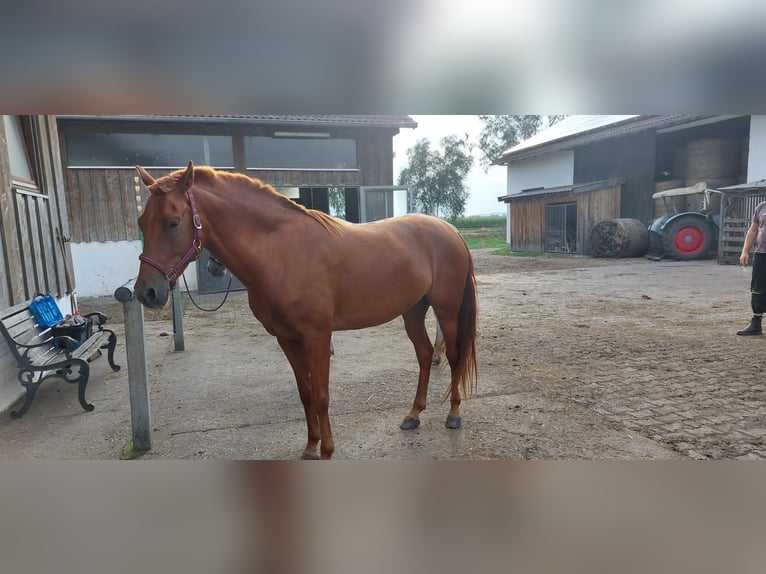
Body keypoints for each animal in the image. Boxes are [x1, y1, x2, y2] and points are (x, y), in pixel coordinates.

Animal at [135, 163, 476, 464]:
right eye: (141, 222)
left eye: (173, 222)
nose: (146, 292)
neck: (282, 252)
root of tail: (450, 230)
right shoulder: (287, 339)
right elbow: (306, 393)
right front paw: (311, 447)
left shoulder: (317, 337)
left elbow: (322, 396)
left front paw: (327, 451)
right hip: (413, 312)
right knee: (425, 354)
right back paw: (413, 414)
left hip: (446, 310)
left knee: (454, 355)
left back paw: (454, 415)